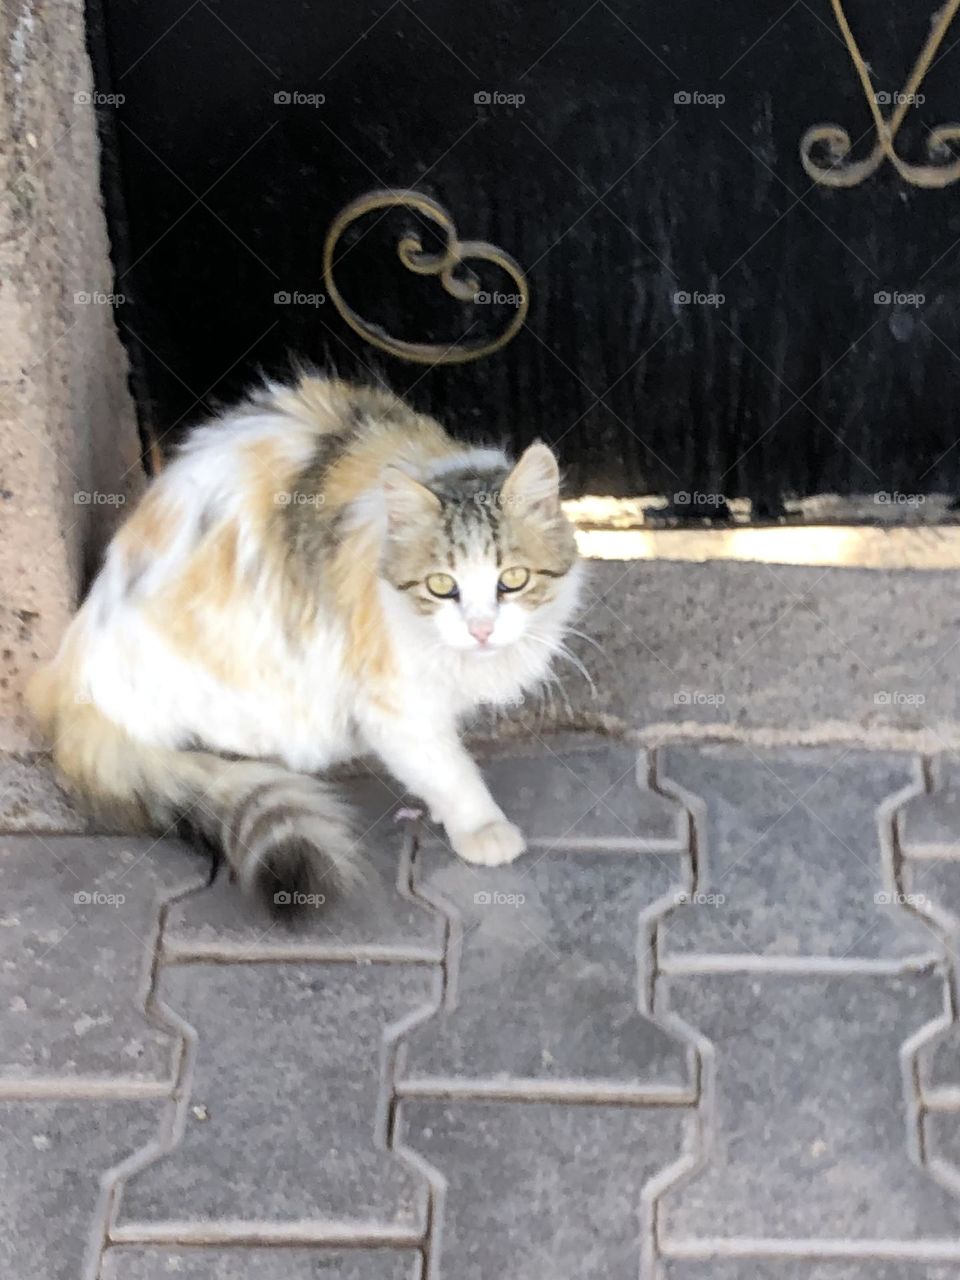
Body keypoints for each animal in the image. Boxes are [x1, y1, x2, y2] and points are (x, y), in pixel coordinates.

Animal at [28, 371, 586, 911]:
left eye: (512, 580)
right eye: (441, 586)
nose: (481, 629)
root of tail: (71, 682)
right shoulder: (393, 700)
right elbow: (446, 769)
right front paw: (482, 827)